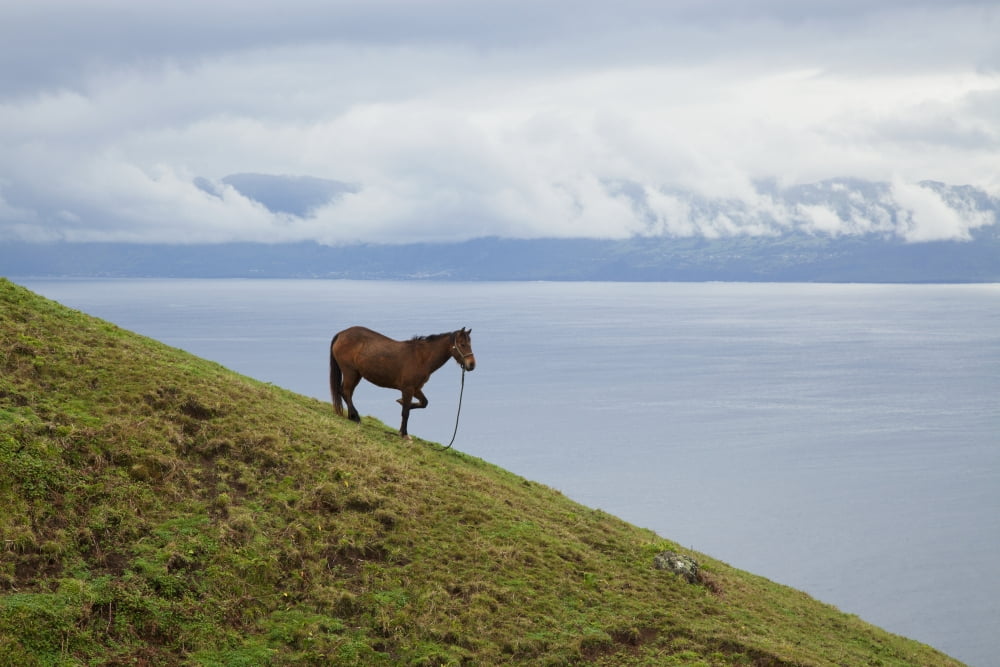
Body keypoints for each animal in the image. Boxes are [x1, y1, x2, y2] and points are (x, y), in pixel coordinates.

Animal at [329, 326, 476, 438]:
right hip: (350, 372)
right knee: (346, 392)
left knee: (346, 392)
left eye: (470, 344)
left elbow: (423, 403)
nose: (472, 364)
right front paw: (404, 434)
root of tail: (341, 334)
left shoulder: (416, 388)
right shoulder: (408, 388)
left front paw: (403, 406)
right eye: (462, 344)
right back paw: (356, 417)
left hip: (356, 375)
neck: (421, 358)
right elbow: (405, 412)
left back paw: (352, 416)